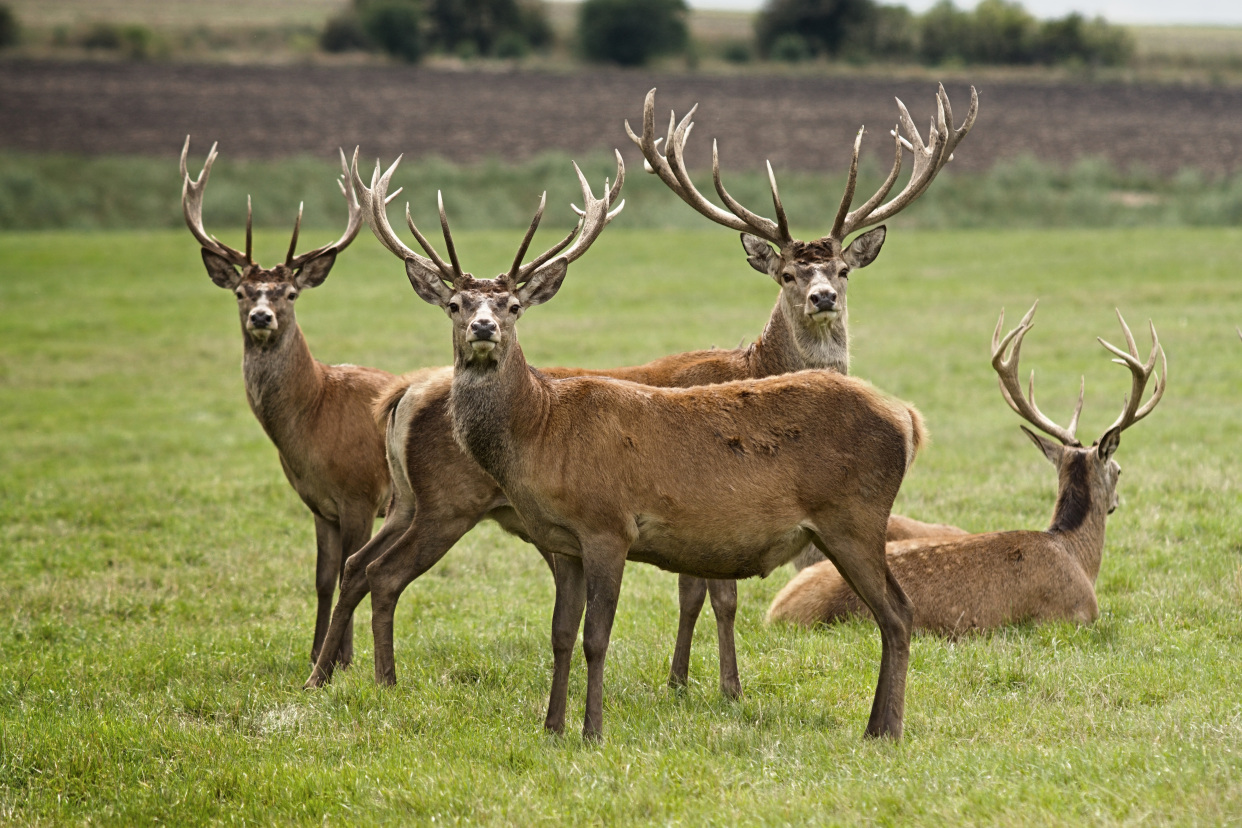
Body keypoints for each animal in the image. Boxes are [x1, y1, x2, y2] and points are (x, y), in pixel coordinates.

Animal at [180, 135, 389, 665]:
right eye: (240, 291)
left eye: (291, 293)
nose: (261, 317)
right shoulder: (318, 505)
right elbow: (322, 579)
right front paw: (317, 653)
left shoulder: (360, 493)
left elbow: (349, 572)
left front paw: (342, 658)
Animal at [305, 84, 973, 700]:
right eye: (787, 273)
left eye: (842, 269)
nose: (823, 298)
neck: (755, 363)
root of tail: (402, 396)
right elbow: (714, 597)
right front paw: (714, 686)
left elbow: (695, 592)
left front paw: (686, 682)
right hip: (447, 501)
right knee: (382, 574)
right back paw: (370, 678)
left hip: (407, 500)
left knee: (359, 567)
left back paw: (331, 673)